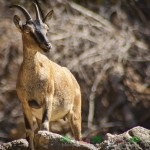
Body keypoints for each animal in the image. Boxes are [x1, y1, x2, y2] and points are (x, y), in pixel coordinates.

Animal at [9, 2, 81, 150]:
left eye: (46, 29)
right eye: (27, 30)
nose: (47, 46)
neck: (33, 79)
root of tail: (72, 78)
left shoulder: (48, 98)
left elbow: (44, 128)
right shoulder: (25, 104)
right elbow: (29, 132)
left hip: (75, 114)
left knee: (78, 137)